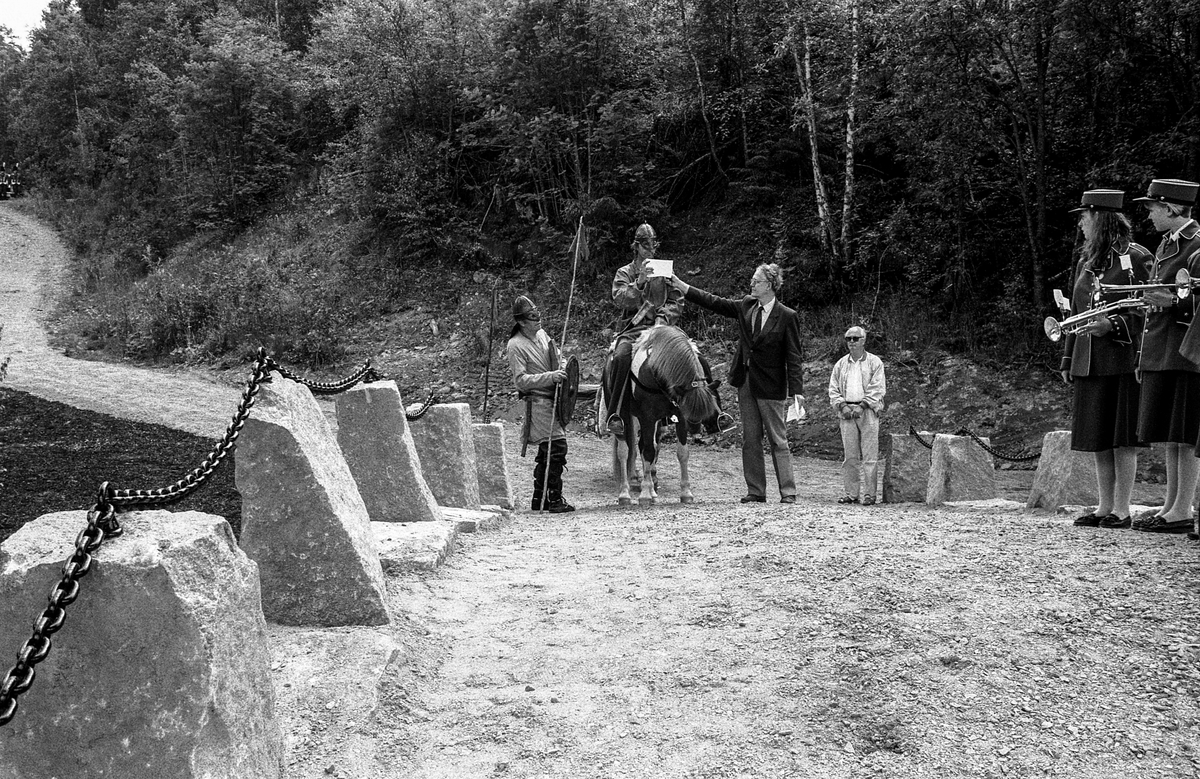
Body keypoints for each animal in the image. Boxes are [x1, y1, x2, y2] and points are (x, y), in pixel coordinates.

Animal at [604, 321, 724, 504]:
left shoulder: (678, 417)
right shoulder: (647, 417)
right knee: (624, 451)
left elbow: (682, 453)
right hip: (624, 416)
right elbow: (647, 451)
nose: (696, 431)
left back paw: (652, 491)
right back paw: (625, 493)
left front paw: (685, 493)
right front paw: (645, 494)